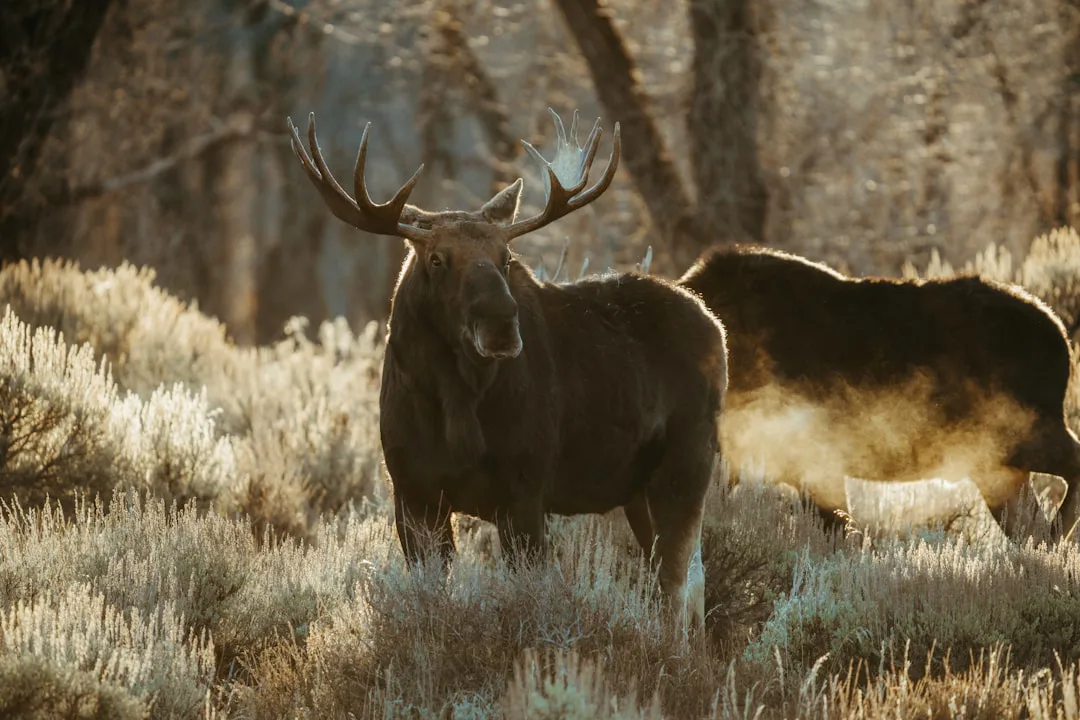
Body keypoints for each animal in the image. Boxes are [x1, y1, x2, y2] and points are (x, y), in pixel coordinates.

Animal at [286, 108, 729, 634]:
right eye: (437, 259)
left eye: (505, 258)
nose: (500, 325)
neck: (454, 407)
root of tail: (716, 325)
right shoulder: (413, 493)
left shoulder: (525, 491)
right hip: (637, 489)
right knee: (680, 580)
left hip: (687, 462)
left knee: (683, 587)